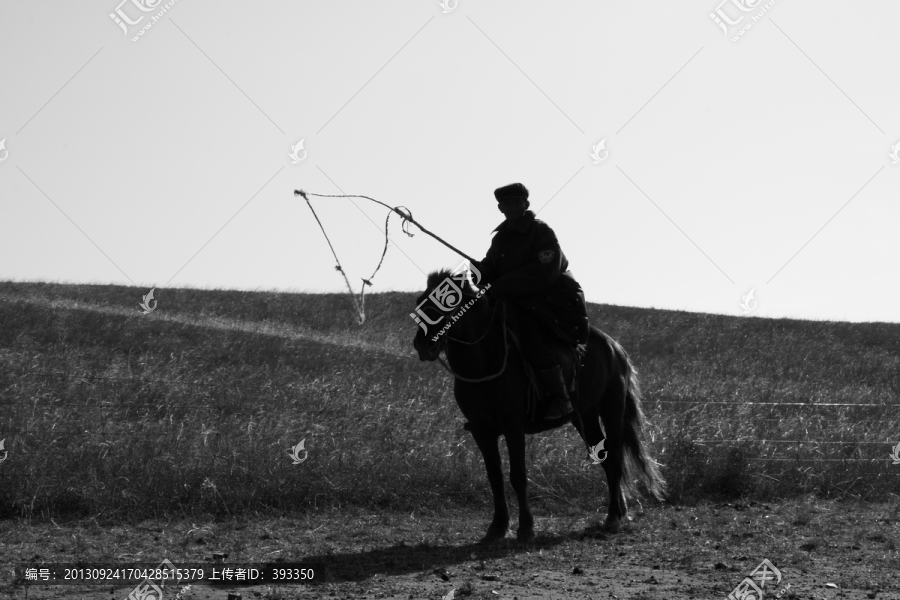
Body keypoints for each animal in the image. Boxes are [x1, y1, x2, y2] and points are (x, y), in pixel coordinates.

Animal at [412, 270, 664, 544]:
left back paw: (615, 517)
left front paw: (525, 527)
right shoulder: (482, 432)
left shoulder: (513, 429)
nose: (423, 345)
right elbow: (495, 477)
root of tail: (615, 348)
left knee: (616, 459)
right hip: (585, 417)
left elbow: (518, 476)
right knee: (606, 459)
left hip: (612, 409)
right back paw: (616, 514)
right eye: (420, 301)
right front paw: (497, 526)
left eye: (448, 304)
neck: (485, 361)